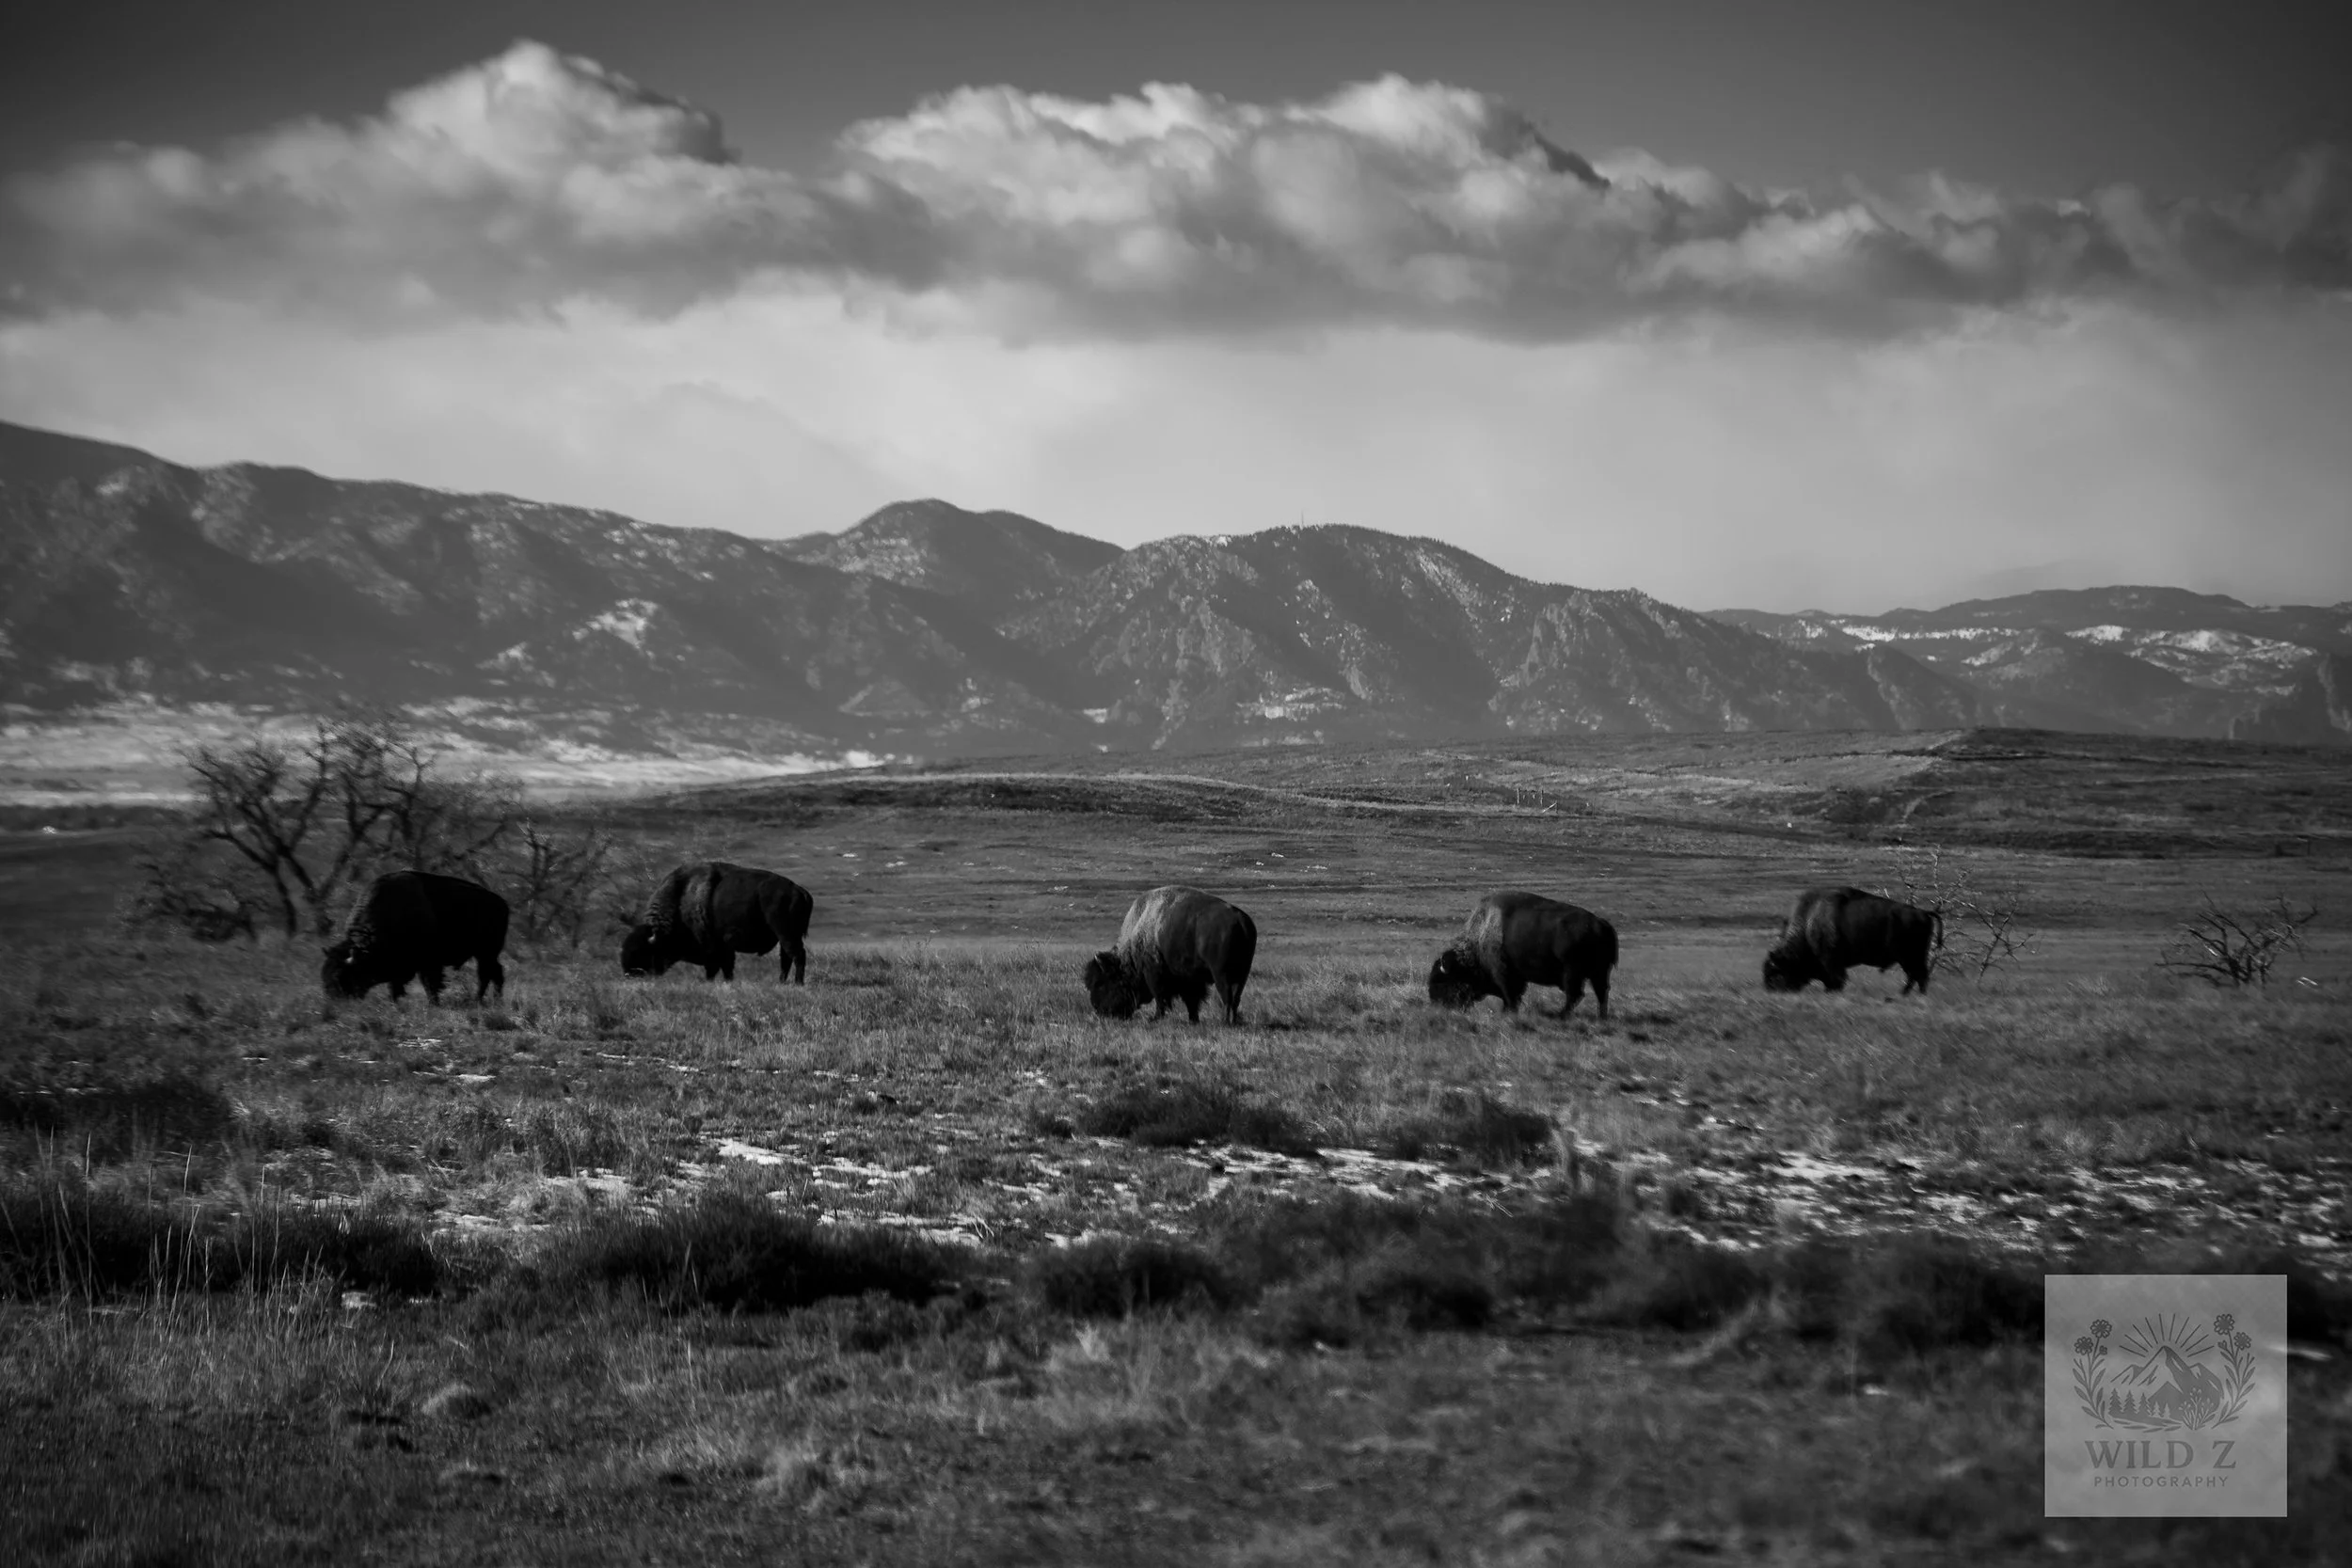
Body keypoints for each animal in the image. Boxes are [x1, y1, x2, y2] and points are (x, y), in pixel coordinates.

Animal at [321, 870, 509, 1004]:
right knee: (495, 973)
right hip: (486, 954)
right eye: (324, 974)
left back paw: (479, 1000)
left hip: (486, 953)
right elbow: (396, 985)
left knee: (486, 974)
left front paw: (433, 1004)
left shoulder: (429, 962)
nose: (333, 1000)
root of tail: (502, 903)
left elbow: (429, 983)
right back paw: (495, 1000)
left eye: (342, 976)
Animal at [620, 861, 813, 983]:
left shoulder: (712, 947)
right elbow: (727, 967)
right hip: (784, 936)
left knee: (797, 955)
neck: (681, 897)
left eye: (641, 950)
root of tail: (799, 891)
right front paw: (728, 981)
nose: (628, 973)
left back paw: (798, 983)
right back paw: (781, 982)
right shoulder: (725, 948)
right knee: (786, 958)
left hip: (786, 933)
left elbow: (713, 968)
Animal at [1085, 885, 1257, 1024]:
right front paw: (1193, 1020)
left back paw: (1225, 1022)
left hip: (1221, 974)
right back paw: (1232, 1021)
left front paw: (1155, 1018)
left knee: (1227, 996)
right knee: (1235, 997)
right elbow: (1191, 1000)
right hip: (1242, 973)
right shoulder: (1189, 979)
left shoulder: (1154, 973)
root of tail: (1241, 921)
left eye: (1100, 983)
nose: (1099, 1010)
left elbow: (1161, 997)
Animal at [1427, 891, 1617, 1020]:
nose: (1436, 1005)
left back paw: (1560, 1015)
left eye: (1442, 981)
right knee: (1600, 993)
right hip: (1598, 972)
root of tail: (1601, 924)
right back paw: (1601, 1017)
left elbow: (1510, 997)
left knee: (1575, 995)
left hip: (1573, 973)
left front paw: (1507, 1013)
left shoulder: (1504, 975)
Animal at [1762, 886, 1942, 994]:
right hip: (1913, 957)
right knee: (1917, 976)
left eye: (1775, 973)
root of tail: (1923, 913)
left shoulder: (1831, 963)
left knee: (1918, 976)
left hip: (1910, 957)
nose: (1770, 991)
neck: (1808, 923)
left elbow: (1836, 980)